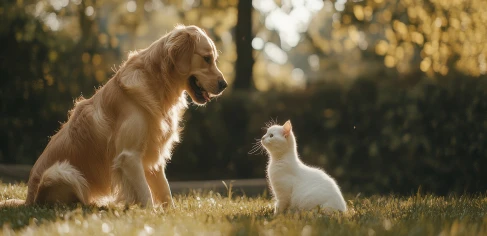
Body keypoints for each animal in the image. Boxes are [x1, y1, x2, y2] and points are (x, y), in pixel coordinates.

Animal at [0, 24, 227, 207]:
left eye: (214, 59)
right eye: (207, 59)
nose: (224, 85)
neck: (157, 85)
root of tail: (28, 199)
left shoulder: (153, 156)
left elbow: (165, 191)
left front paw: (170, 215)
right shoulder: (129, 157)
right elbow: (146, 194)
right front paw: (151, 215)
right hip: (61, 172)